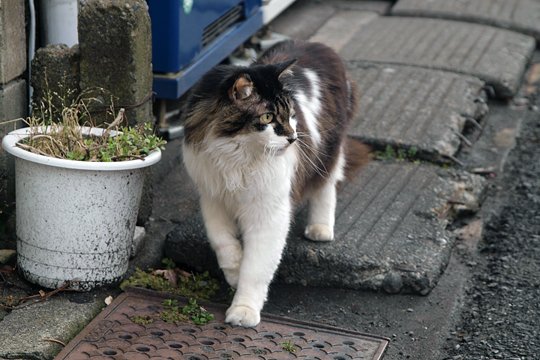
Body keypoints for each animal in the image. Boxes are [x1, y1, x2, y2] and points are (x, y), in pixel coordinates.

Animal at [184, 39, 370, 326]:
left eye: (291, 114)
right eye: (267, 118)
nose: (293, 138)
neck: (235, 157)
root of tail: (319, 45)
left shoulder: (269, 211)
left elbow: (257, 267)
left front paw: (244, 311)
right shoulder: (213, 197)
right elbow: (222, 241)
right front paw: (234, 270)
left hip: (328, 151)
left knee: (326, 187)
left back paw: (320, 228)